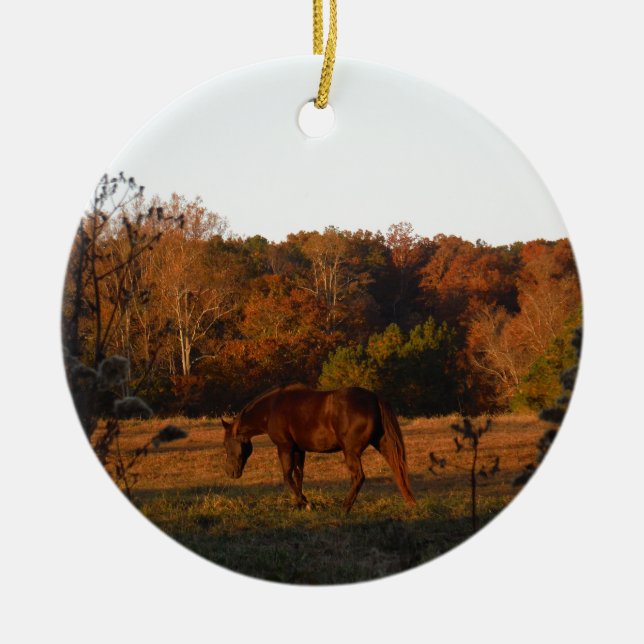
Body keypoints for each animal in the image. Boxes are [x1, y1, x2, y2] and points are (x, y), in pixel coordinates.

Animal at [221, 383, 416, 512]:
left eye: (225, 444)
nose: (230, 472)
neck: (272, 408)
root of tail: (375, 399)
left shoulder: (285, 447)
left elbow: (287, 476)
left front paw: (306, 503)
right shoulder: (299, 449)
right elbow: (298, 476)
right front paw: (299, 504)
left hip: (351, 452)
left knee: (358, 477)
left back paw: (344, 508)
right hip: (383, 445)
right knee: (398, 469)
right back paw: (410, 502)